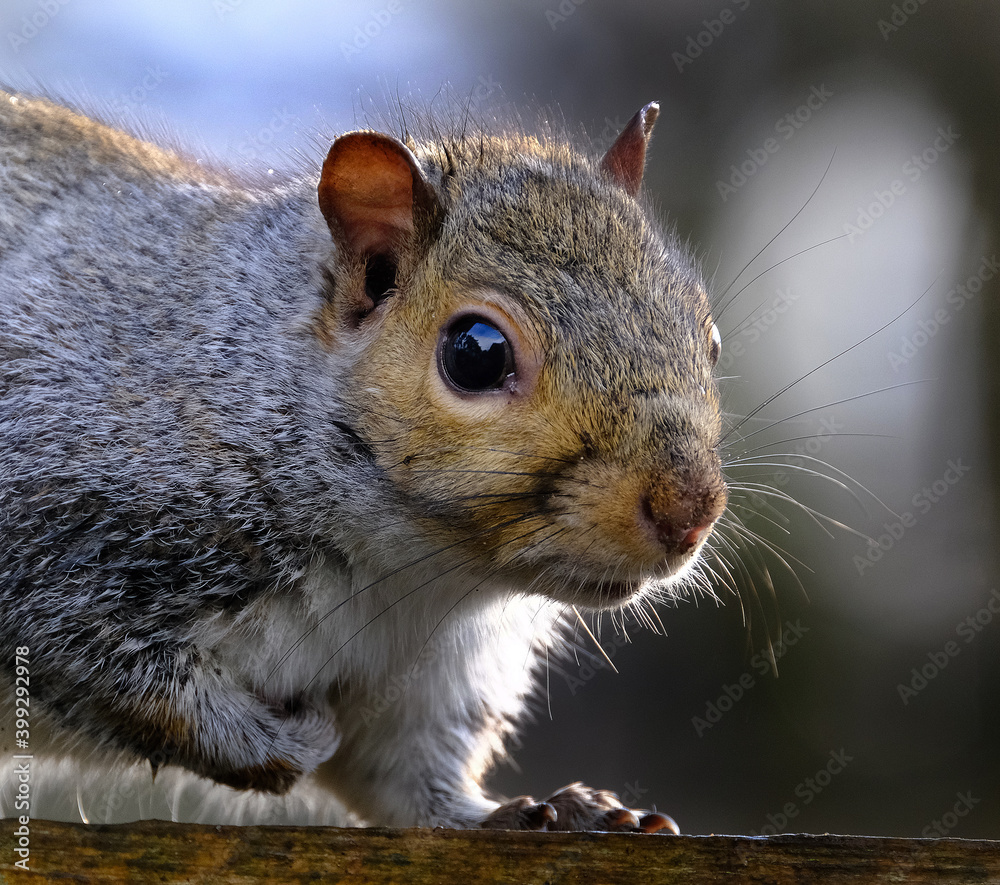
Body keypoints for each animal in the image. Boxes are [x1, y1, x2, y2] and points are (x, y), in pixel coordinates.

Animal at [0, 90, 727, 832]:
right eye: (476, 352)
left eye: (710, 338)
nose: (689, 511)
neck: (409, 573)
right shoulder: (66, 518)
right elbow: (108, 669)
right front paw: (279, 742)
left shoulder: (426, 679)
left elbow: (406, 780)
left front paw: (536, 812)